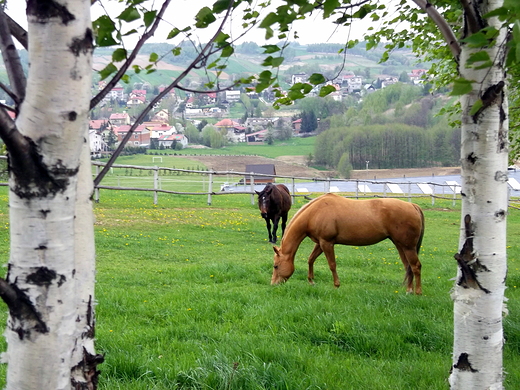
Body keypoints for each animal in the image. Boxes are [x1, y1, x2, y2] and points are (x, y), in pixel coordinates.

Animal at [270, 193, 424, 294]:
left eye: (276, 266)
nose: (273, 284)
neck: (314, 213)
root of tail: (413, 205)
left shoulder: (327, 243)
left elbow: (332, 265)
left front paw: (336, 285)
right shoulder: (320, 243)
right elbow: (311, 259)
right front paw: (311, 281)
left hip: (408, 247)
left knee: (416, 266)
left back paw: (417, 292)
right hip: (400, 245)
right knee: (408, 266)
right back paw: (409, 290)